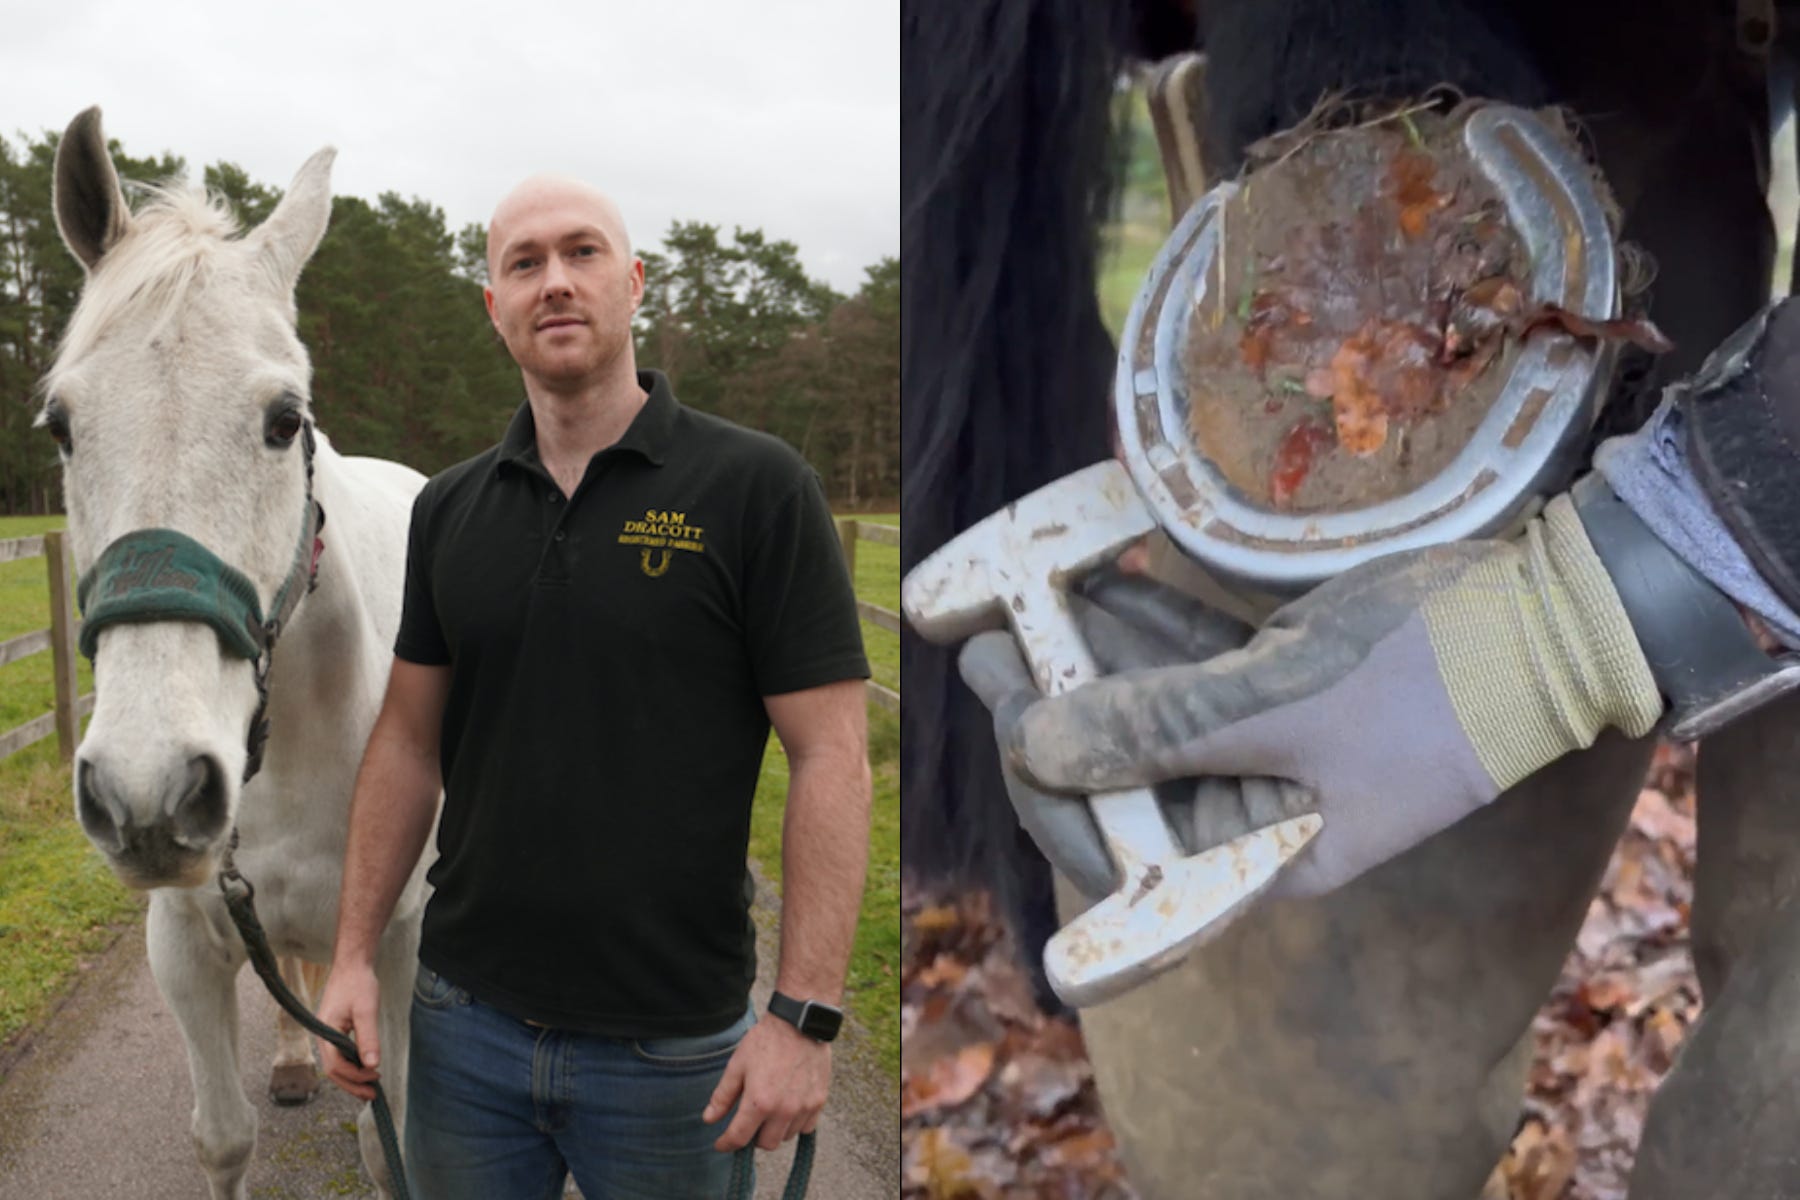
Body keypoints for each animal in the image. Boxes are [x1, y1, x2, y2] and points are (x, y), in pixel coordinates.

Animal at [46, 107, 428, 1194]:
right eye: (60, 426)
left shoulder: (392, 944)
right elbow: (222, 1137)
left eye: (283, 420)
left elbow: (391, 1139)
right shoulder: (183, 940)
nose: (148, 789)